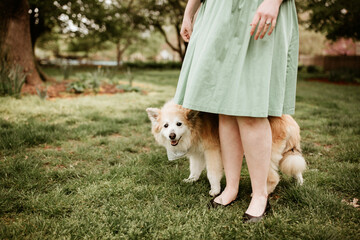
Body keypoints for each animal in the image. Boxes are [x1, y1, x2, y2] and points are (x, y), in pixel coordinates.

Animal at [146, 100, 306, 196]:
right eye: (166, 125)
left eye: (179, 124)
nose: (172, 136)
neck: (196, 124)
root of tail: (289, 120)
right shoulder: (198, 153)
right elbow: (195, 168)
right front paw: (191, 180)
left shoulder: (212, 151)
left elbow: (212, 173)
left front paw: (215, 191)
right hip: (283, 153)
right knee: (296, 167)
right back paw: (299, 183)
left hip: (265, 154)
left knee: (273, 178)